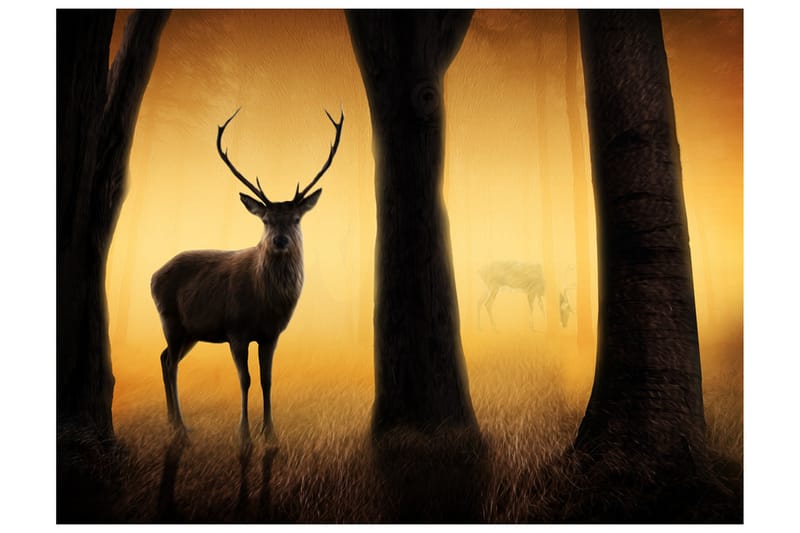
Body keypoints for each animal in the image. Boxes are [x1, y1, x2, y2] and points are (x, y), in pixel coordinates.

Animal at [151, 108, 343, 442]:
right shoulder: (235, 329)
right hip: (170, 320)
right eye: (265, 220)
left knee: (164, 359)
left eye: (296, 218)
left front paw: (270, 433)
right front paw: (244, 434)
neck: (265, 304)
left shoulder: (271, 334)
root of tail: (152, 276)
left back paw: (173, 422)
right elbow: (245, 379)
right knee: (171, 364)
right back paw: (182, 427)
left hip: (191, 331)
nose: (280, 241)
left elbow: (267, 380)